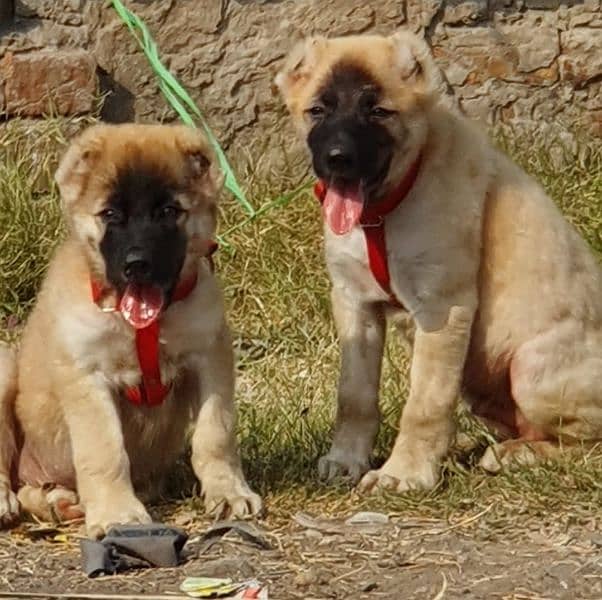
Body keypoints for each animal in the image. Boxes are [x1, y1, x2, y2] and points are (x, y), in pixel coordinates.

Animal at [0, 123, 260, 536]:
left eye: (169, 211)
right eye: (110, 214)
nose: (137, 264)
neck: (143, 325)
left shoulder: (211, 356)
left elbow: (215, 432)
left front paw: (229, 491)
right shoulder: (88, 376)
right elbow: (104, 450)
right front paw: (117, 512)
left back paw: (60, 501)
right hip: (5, 366)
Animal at [276, 31, 600, 492]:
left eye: (379, 111)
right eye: (318, 110)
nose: (338, 159)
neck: (383, 213)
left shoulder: (442, 308)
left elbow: (425, 403)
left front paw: (404, 473)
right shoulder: (354, 302)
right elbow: (354, 396)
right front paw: (347, 459)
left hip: (531, 369)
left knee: (586, 444)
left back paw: (517, 455)